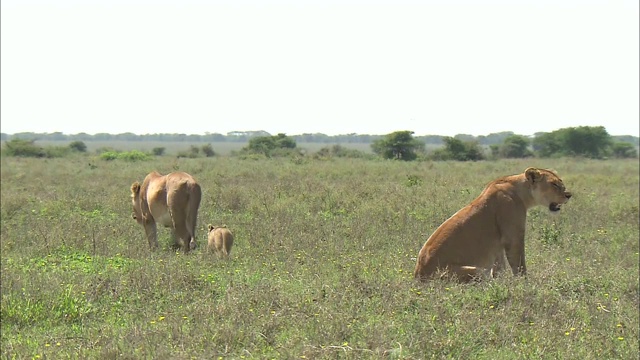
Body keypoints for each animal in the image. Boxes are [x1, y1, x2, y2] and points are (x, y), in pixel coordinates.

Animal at [416, 167, 568, 282]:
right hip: (476, 271)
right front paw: (524, 284)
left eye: (561, 183)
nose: (569, 195)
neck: (521, 192)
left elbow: (500, 268)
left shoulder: (498, 246)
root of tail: (418, 276)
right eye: (554, 184)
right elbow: (519, 264)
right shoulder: (513, 237)